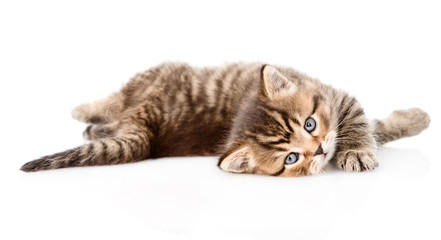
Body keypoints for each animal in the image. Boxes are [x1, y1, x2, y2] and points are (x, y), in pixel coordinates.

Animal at [20, 62, 430, 176]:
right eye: (291, 156)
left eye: (310, 124)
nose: (318, 151)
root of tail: (151, 127)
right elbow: (371, 126)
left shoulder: (338, 100)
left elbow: (367, 125)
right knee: (114, 99)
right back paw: (83, 111)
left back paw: (91, 126)